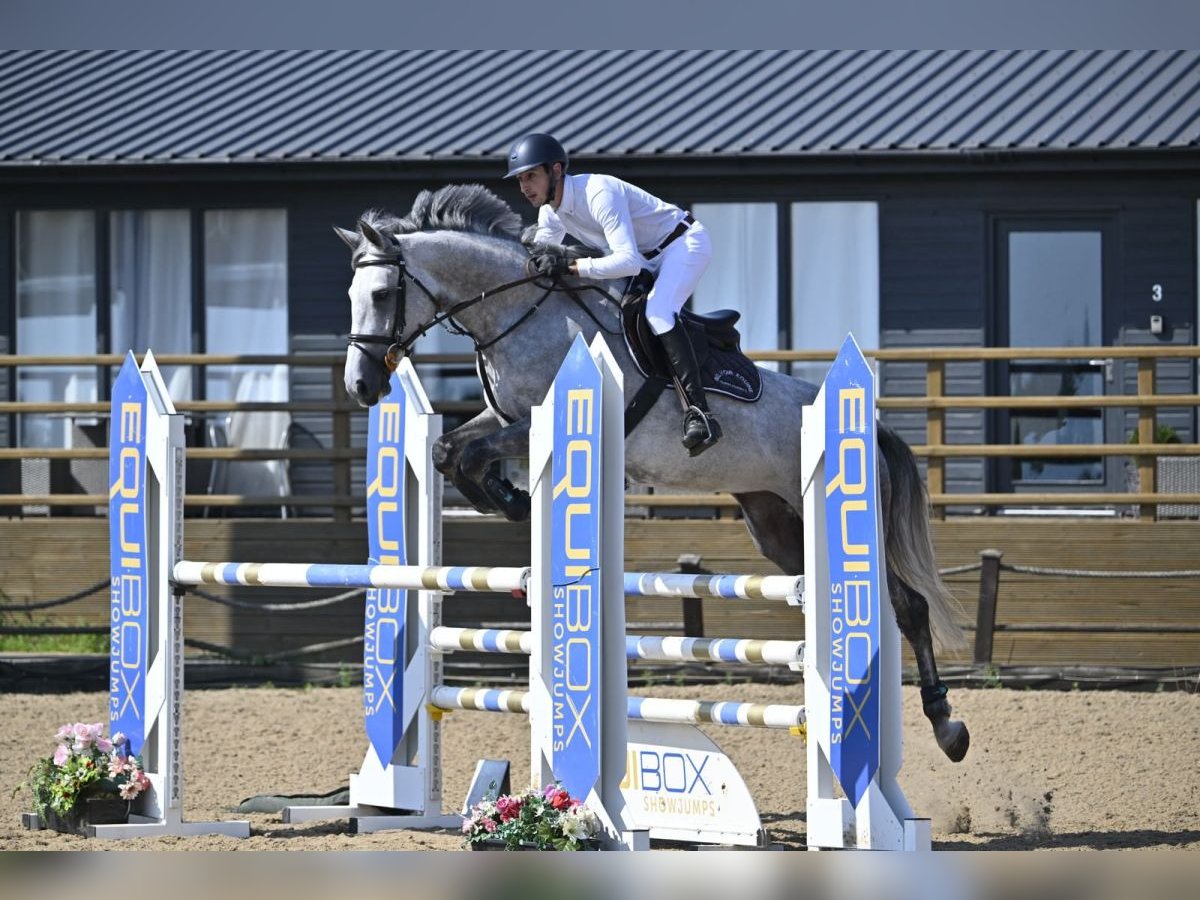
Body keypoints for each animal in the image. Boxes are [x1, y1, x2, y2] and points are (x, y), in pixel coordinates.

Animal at [333, 187, 969, 763]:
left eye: (383, 293)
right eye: (351, 295)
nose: (361, 386)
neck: (517, 315)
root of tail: (868, 426)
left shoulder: (535, 423)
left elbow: (468, 456)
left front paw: (513, 499)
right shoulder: (502, 419)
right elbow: (449, 450)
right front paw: (507, 498)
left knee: (909, 607)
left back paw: (945, 726)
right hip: (778, 525)